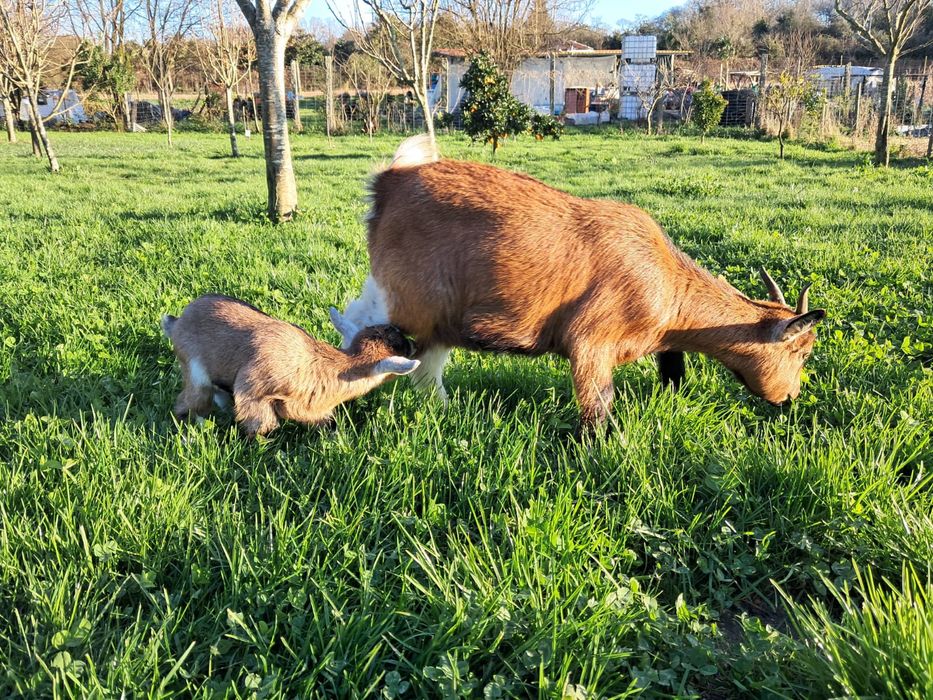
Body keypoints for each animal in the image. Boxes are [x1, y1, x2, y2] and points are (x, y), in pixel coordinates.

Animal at [161, 295, 419, 437]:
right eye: (401, 344)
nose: (415, 344)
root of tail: (177, 321)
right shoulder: (253, 392)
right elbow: (263, 428)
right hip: (195, 373)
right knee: (188, 402)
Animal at [330, 136, 826, 427]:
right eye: (801, 351)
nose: (790, 398)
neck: (666, 283)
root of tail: (391, 182)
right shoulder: (591, 342)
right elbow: (599, 404)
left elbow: (673, 370)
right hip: (404, 299)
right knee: (358, 327)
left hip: (436, 316)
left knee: (423, 364)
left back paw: (444, 411)